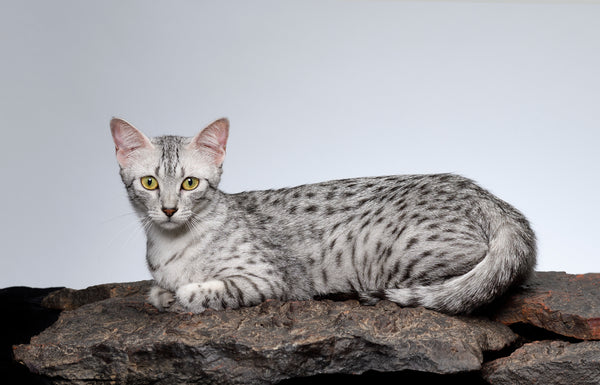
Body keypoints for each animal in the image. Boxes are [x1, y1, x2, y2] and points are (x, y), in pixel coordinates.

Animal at [110, 118, 536, 316]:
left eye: (190, 183)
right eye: (149, 182)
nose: (168, 209)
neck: (170, 244)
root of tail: (487, 196)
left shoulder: (269, 279)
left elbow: (215, 289)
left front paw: (187, 294)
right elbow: (158, 291)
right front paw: (164, 294)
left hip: (392, 252)